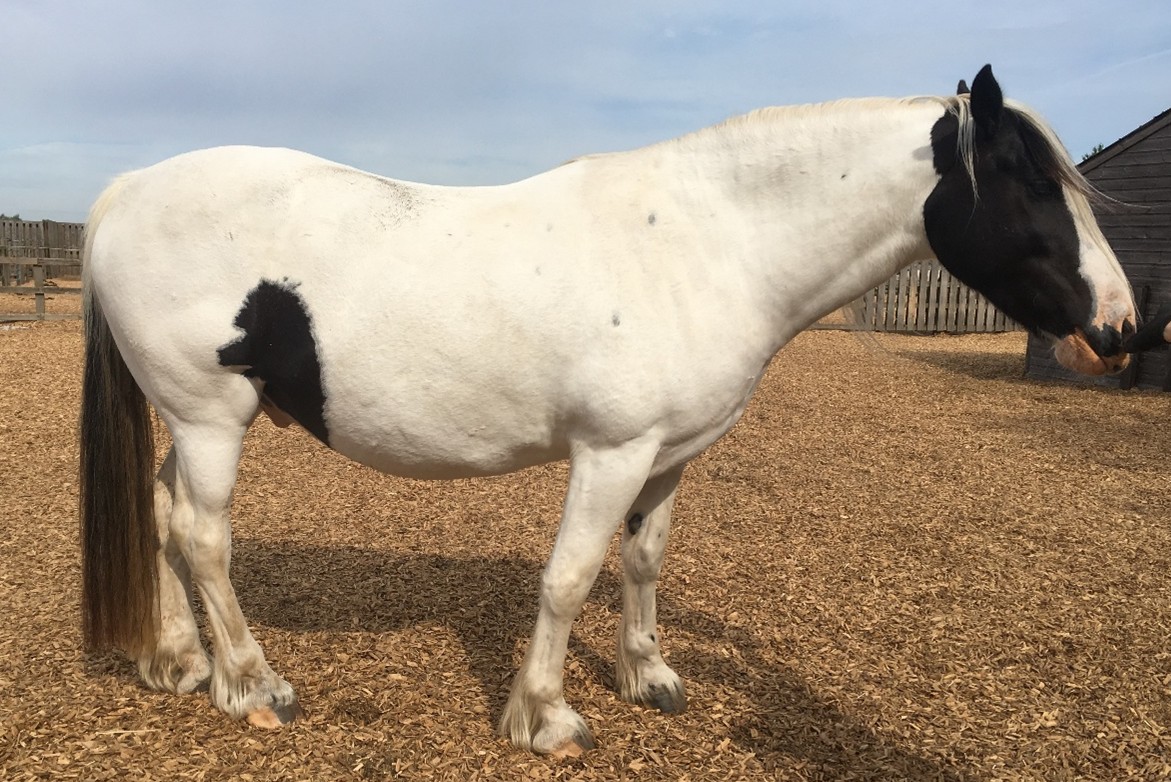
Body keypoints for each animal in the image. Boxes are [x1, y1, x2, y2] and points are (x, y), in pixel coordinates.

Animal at [79, 65, 1135, 756]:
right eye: (1032, 182)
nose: (1120, 328)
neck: (709, 241)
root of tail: (124, 191)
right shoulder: (610, 452)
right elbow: (568, 576)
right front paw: (544, 717)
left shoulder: (667, 455)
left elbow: (642, 560)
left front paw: (646, 676)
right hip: (211, 420)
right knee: (204, 538)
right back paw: (252, 686)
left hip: (196, 423)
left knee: (165, 520)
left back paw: (180, 661)